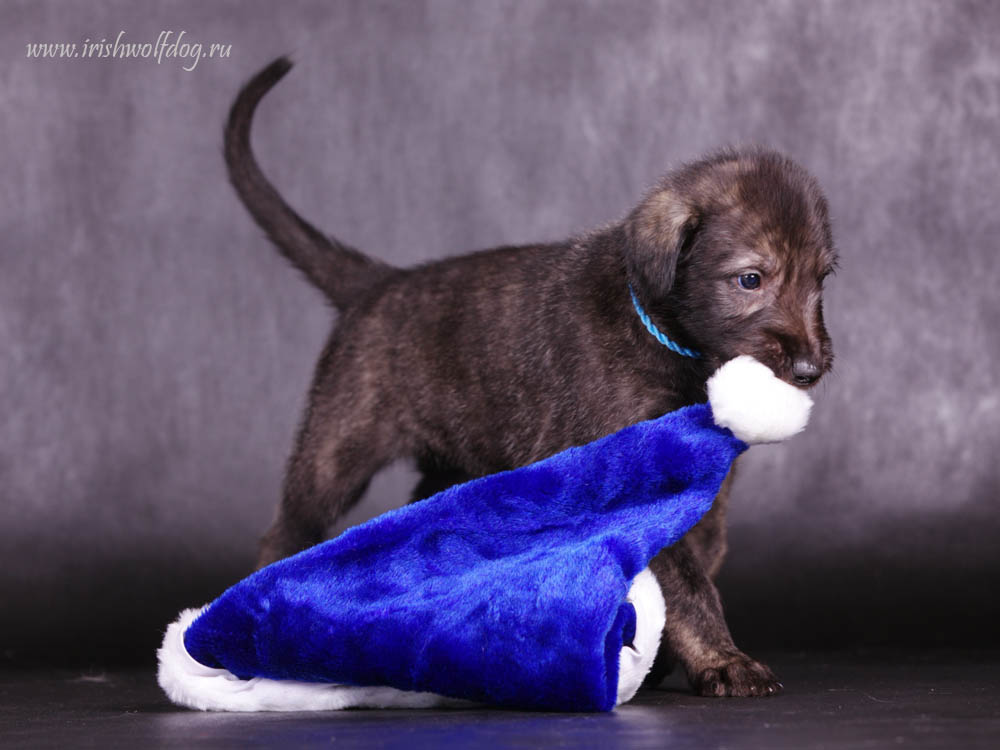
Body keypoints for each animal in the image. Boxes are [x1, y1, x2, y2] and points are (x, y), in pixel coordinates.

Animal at [225, 58, 836, 700]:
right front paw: (723, 659)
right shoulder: (637, 482)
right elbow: (686, 582)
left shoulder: (709, 497)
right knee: (288, 531)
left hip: (454, 464)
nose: (809, 369)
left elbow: (698, 562)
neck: (664, 336)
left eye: (821, 280)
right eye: (751, 279)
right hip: (334, 452)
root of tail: (378, 283)